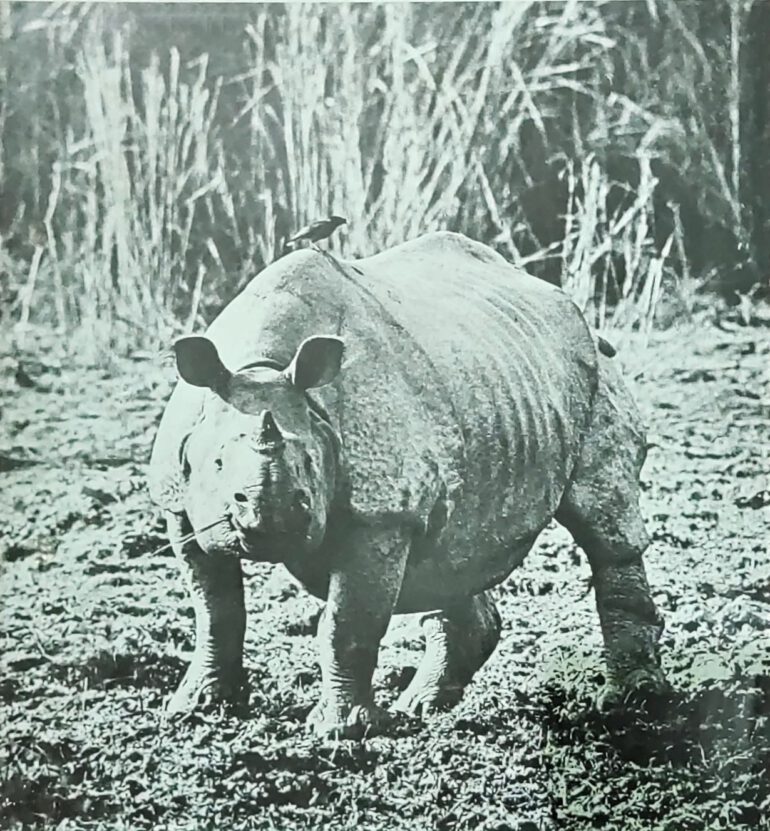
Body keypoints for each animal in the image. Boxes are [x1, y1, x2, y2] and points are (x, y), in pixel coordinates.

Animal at [148, 231, 667, 739]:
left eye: (311, 464)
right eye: (217, 464)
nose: (271, 519)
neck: (260, 366)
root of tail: (564, 302)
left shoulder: (381, 514)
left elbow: (347, 622)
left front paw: (340, 731)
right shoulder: (177, 500)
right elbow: (215, 611)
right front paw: (196, 710)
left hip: (596, 373)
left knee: (603, 525)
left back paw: (629, 705)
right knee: (453, 552)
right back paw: (423, 706)